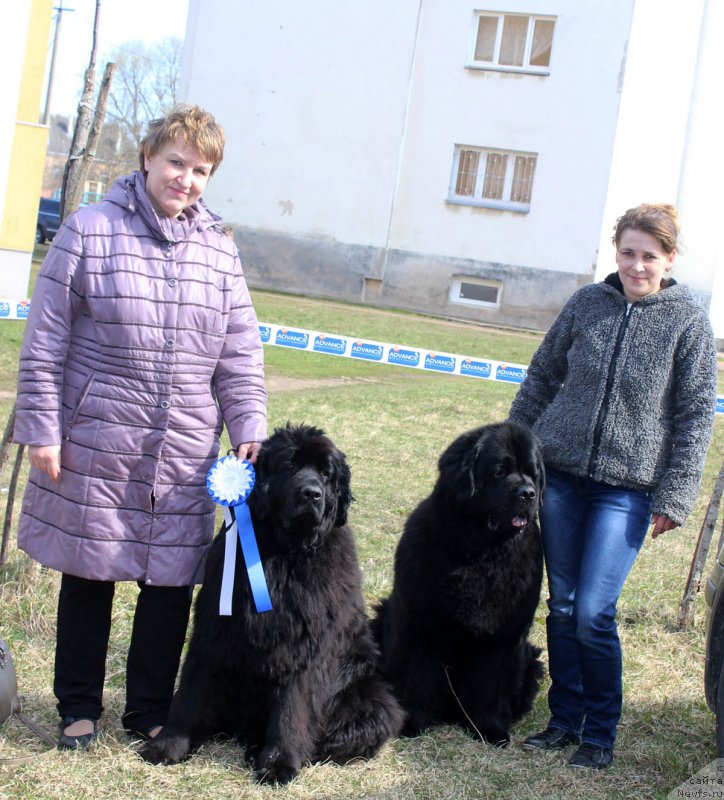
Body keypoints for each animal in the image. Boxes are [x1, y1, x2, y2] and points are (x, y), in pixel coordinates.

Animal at [141, 422, 402, 784]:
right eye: (289, 466)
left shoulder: (305, 647)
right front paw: (167, 745)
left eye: (326, 473)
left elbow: (293, 708)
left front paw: (280, 762)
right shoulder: (214, 629)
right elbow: (190, 693)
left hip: (375, 699)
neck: (284, 554)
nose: (312, 494)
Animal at [374, 422, 544, 748]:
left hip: (532, 661)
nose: (529, 494)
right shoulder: (420, 626)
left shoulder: (504, 637)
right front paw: (413, 722)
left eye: (533, 474)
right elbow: (418, 675)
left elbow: (491, 685)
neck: (481, 554)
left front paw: (490, 729)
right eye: (500, 471)